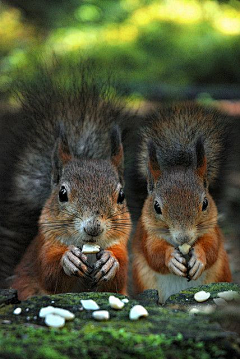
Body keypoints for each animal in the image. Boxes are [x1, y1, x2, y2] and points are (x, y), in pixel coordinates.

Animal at [0, 62, 133, 300]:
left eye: (121, 195)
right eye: (62, 194)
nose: (93, 227)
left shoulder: (122, 247)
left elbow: (117, 281)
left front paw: (110, 262)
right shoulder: (44, 247)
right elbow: (50, 273)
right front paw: (68, 259)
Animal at [130, 103, 232, 304]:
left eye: (205, 203)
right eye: (156, 207)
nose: (184, 237)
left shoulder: (212, 229)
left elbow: (212, 247)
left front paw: (199, 258)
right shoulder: (147, 234)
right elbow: (153, 253)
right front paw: (171, 259)